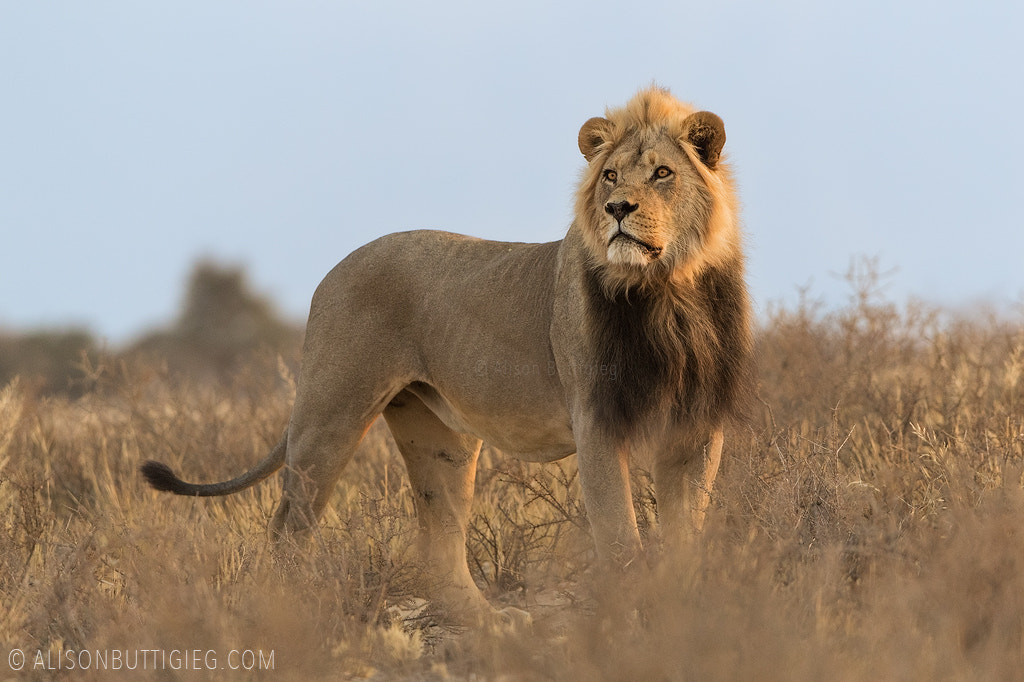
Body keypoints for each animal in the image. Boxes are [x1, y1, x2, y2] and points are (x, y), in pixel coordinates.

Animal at [142, 86, 753, 623]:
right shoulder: (597, 423)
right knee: (288, 526)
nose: (617, 207)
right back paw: (291, 618)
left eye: (663, 174)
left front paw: (684, 618)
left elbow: (686, 534)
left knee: (438, 546)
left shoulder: (697, 425)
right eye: (609, 175)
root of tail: (332, 271)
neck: (667, 292)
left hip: (439, 438)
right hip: (327, 417)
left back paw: (492, 626)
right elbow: (622, 541)